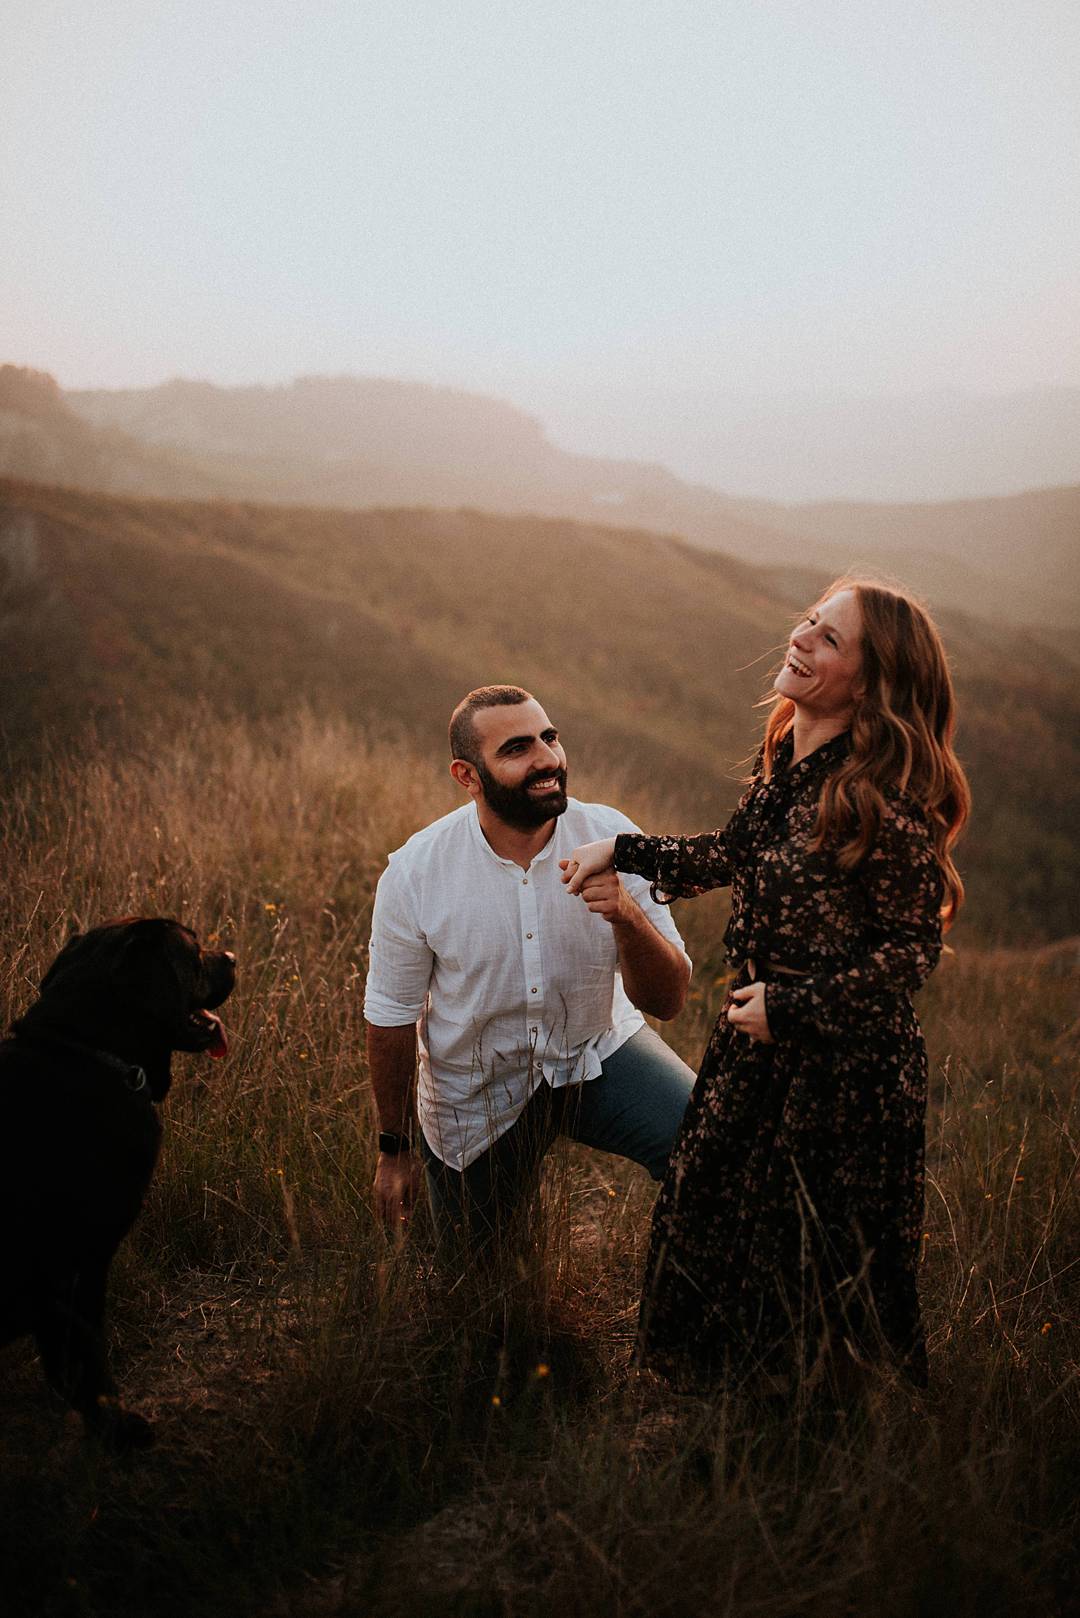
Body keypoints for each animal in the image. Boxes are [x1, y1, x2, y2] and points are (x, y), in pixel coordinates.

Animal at [0, 919, 234, 1449]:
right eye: (193, 950)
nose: (232, 956)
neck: (88, 1051)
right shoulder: (76, 1263)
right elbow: (86, 1353)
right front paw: (117, 1429)